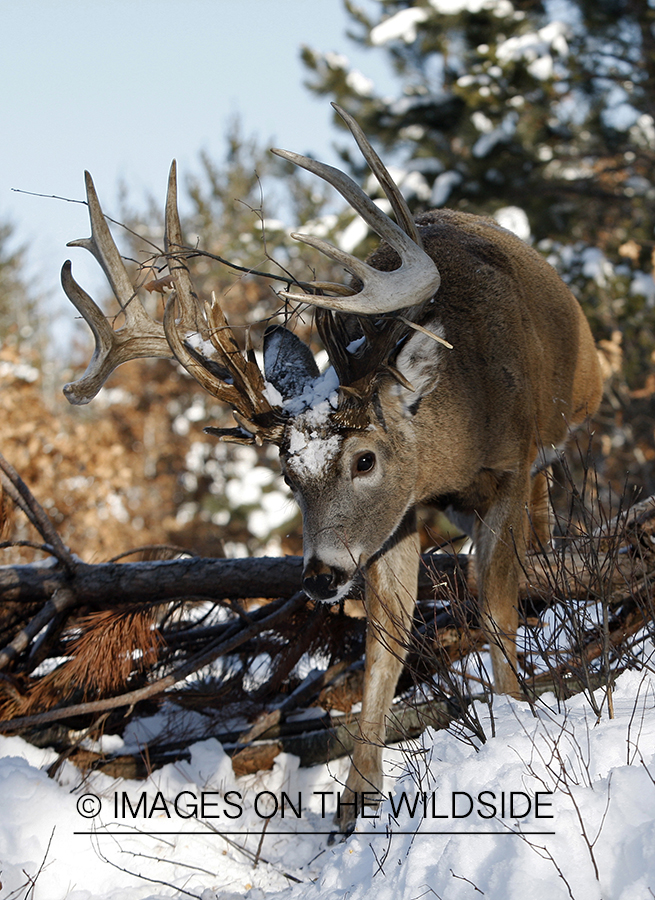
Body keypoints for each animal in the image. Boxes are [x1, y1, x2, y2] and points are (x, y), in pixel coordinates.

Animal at [61, 105, 604, 836]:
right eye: (288, 474)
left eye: (365, 457)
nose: (318, 575)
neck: (465, 415)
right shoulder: (398, 519)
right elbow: (384, 643)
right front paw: (354, 805)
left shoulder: (507, 468)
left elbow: (494, 608)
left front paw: (517, 713)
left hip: (580, 398)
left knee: (552, 480)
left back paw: (550, 544)